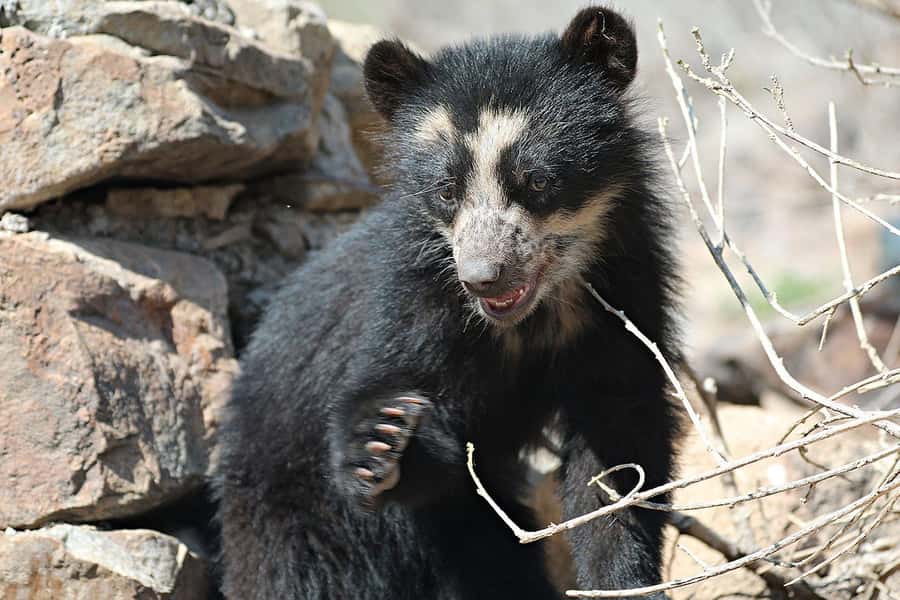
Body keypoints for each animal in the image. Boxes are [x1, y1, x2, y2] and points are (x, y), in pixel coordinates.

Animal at [216, 5, 681, 599]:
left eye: (536, 181)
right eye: (445, 190)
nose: (483, 278)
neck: (532, 315)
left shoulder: (623, 295)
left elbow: (618, 449)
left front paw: (624, 580)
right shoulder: (413, 302)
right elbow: (398, 398)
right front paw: (382, 442)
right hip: (293, 519)